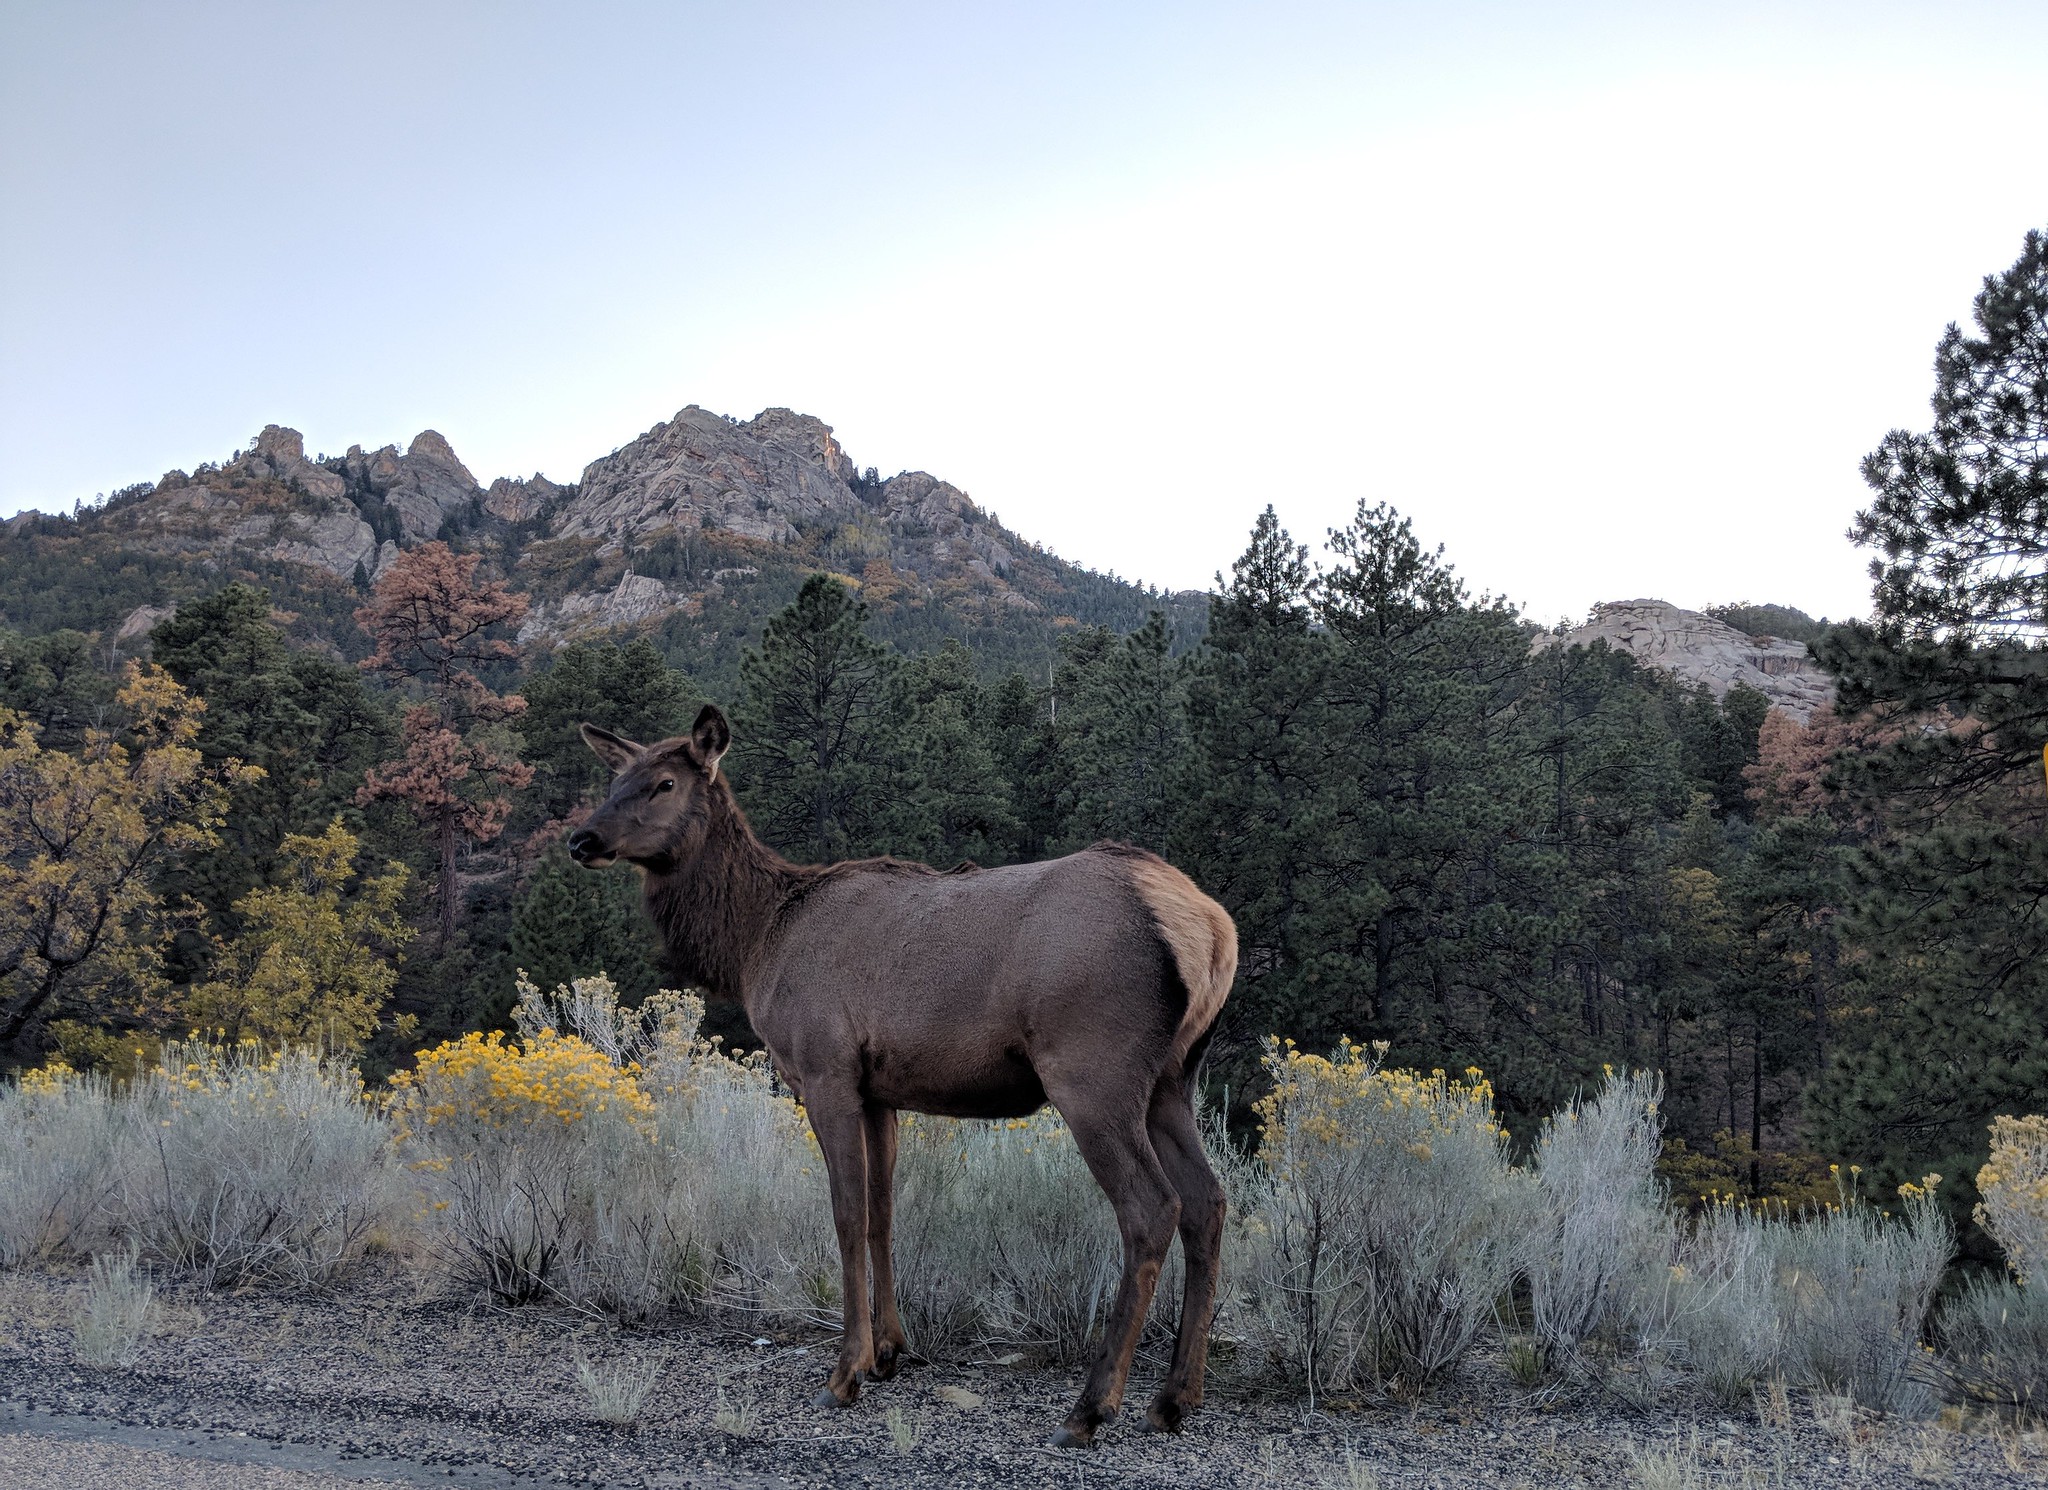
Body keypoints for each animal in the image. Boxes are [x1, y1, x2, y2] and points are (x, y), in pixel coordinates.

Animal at [565, 704, 1228, 1449]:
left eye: (665, 783)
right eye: (614, 779)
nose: (583, 838)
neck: (755, 942)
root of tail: (1210, 928)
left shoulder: (823, 1068)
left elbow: (846, 1213)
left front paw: (845, 1371)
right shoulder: (880, 1090)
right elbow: (884, 1212)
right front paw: (889, 1351)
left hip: (1093, 1071)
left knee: (1152, 1208)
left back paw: (1090, 1408)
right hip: (1172, 1079)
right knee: (1208, 1200)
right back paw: (1175, 1398)